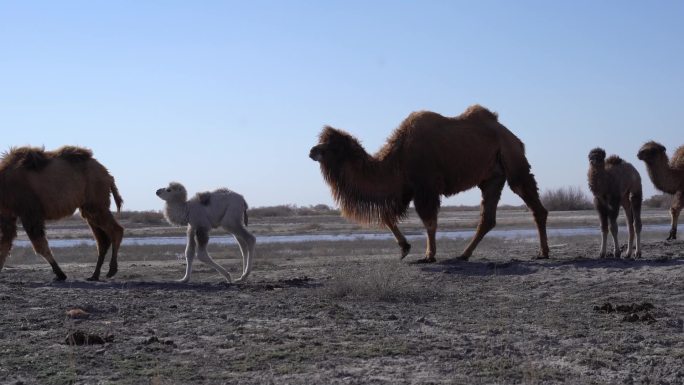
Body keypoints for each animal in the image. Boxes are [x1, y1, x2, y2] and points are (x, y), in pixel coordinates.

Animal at [310, 104, 552, 260]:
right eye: (321, 141)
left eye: (332, 146)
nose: (312, 151)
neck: (398, 157)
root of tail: (515, 138)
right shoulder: (405, 189)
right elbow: (387, 216)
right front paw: (404, 248)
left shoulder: (425, 187)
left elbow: (429, 222)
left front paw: (428, 255)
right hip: (492, 177)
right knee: (488, 218)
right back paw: (464, 254)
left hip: (513, 162)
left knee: (531, 201)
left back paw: (543, 252)